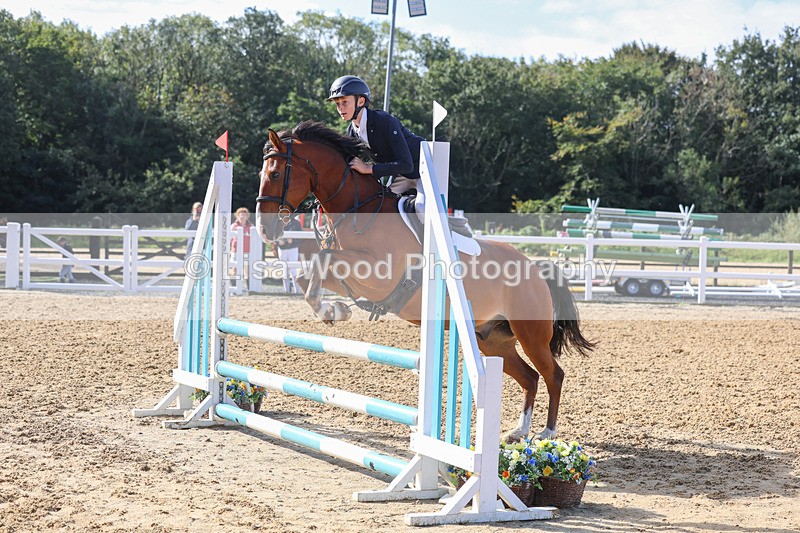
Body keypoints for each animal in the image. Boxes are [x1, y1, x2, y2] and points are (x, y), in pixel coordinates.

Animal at [255, 120, 594, 442]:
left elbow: (323, 260)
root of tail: (535, 270)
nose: (264, 230)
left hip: (530, 334)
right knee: (529, 377)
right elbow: (308, 273)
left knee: (553, 374)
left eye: (275, 174)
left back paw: (546, 433)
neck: (358, 209)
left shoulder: (376, 274)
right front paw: (336, 310)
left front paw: (332, 311)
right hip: (492, 340)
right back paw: (518, 431)